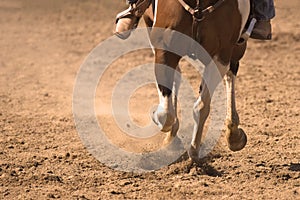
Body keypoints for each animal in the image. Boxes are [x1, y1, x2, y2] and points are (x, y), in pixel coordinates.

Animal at [142, 0, 250, 162]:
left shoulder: (221, 55)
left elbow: (201, 106)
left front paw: (194, 150)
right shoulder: (164, 48)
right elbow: (165, 114)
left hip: (237, 48)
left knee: (231, 73)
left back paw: (234, 134)